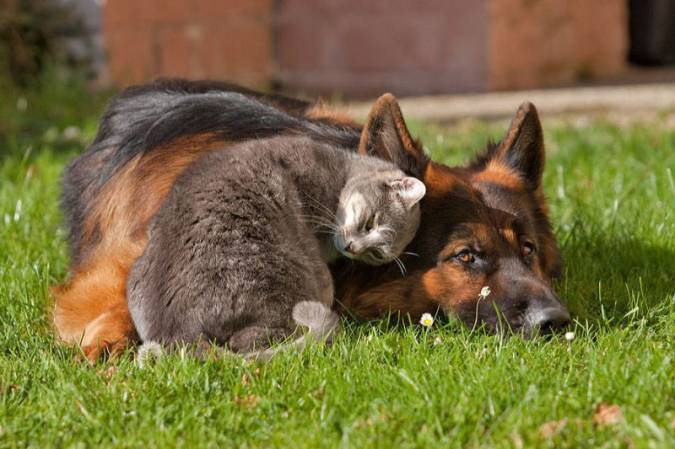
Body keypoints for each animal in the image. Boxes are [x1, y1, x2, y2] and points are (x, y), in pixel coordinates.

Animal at [127, 135, 426, 358]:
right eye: (371, 223)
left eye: (376, 253)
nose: (353, 248)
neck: (341, 173)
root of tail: (174, 333)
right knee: (246, 341)